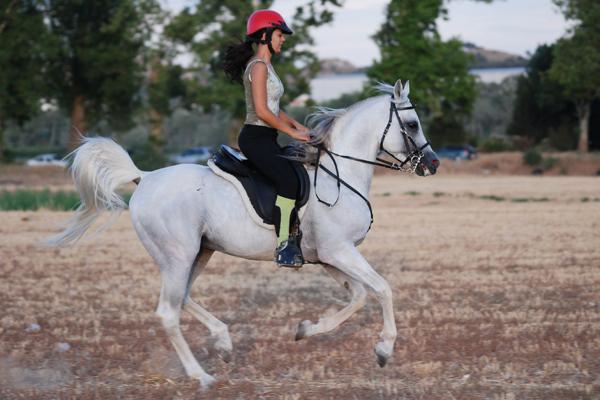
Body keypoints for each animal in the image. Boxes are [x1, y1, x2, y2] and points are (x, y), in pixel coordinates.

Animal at [48, 79, 440, 388]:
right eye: (412, 124)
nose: (433, 164)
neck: (339, 175)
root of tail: (144, 178)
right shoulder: (340, 251)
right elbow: (383, 289)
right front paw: (384, 349)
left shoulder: (328, 257)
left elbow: (358, 296)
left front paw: (305, 329)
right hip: (178, 255)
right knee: (168, 312)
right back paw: (202, 376)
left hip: (198, 253)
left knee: (183, 297)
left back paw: (223, 343)